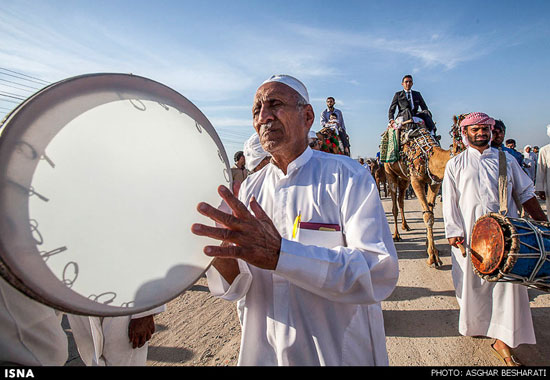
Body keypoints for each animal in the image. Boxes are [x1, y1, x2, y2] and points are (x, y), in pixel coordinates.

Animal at [386, 116, 468, 268]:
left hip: (405, 178)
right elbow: (427, 216)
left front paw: (429, 246)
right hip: (390, 172)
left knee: (401, 200)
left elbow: (430, 212)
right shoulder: (416, 180)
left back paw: (405, 226)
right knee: (394, 204)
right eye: (462, 130)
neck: (429, 156)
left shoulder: (434, 182)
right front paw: (433, 257)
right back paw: (396, 236)